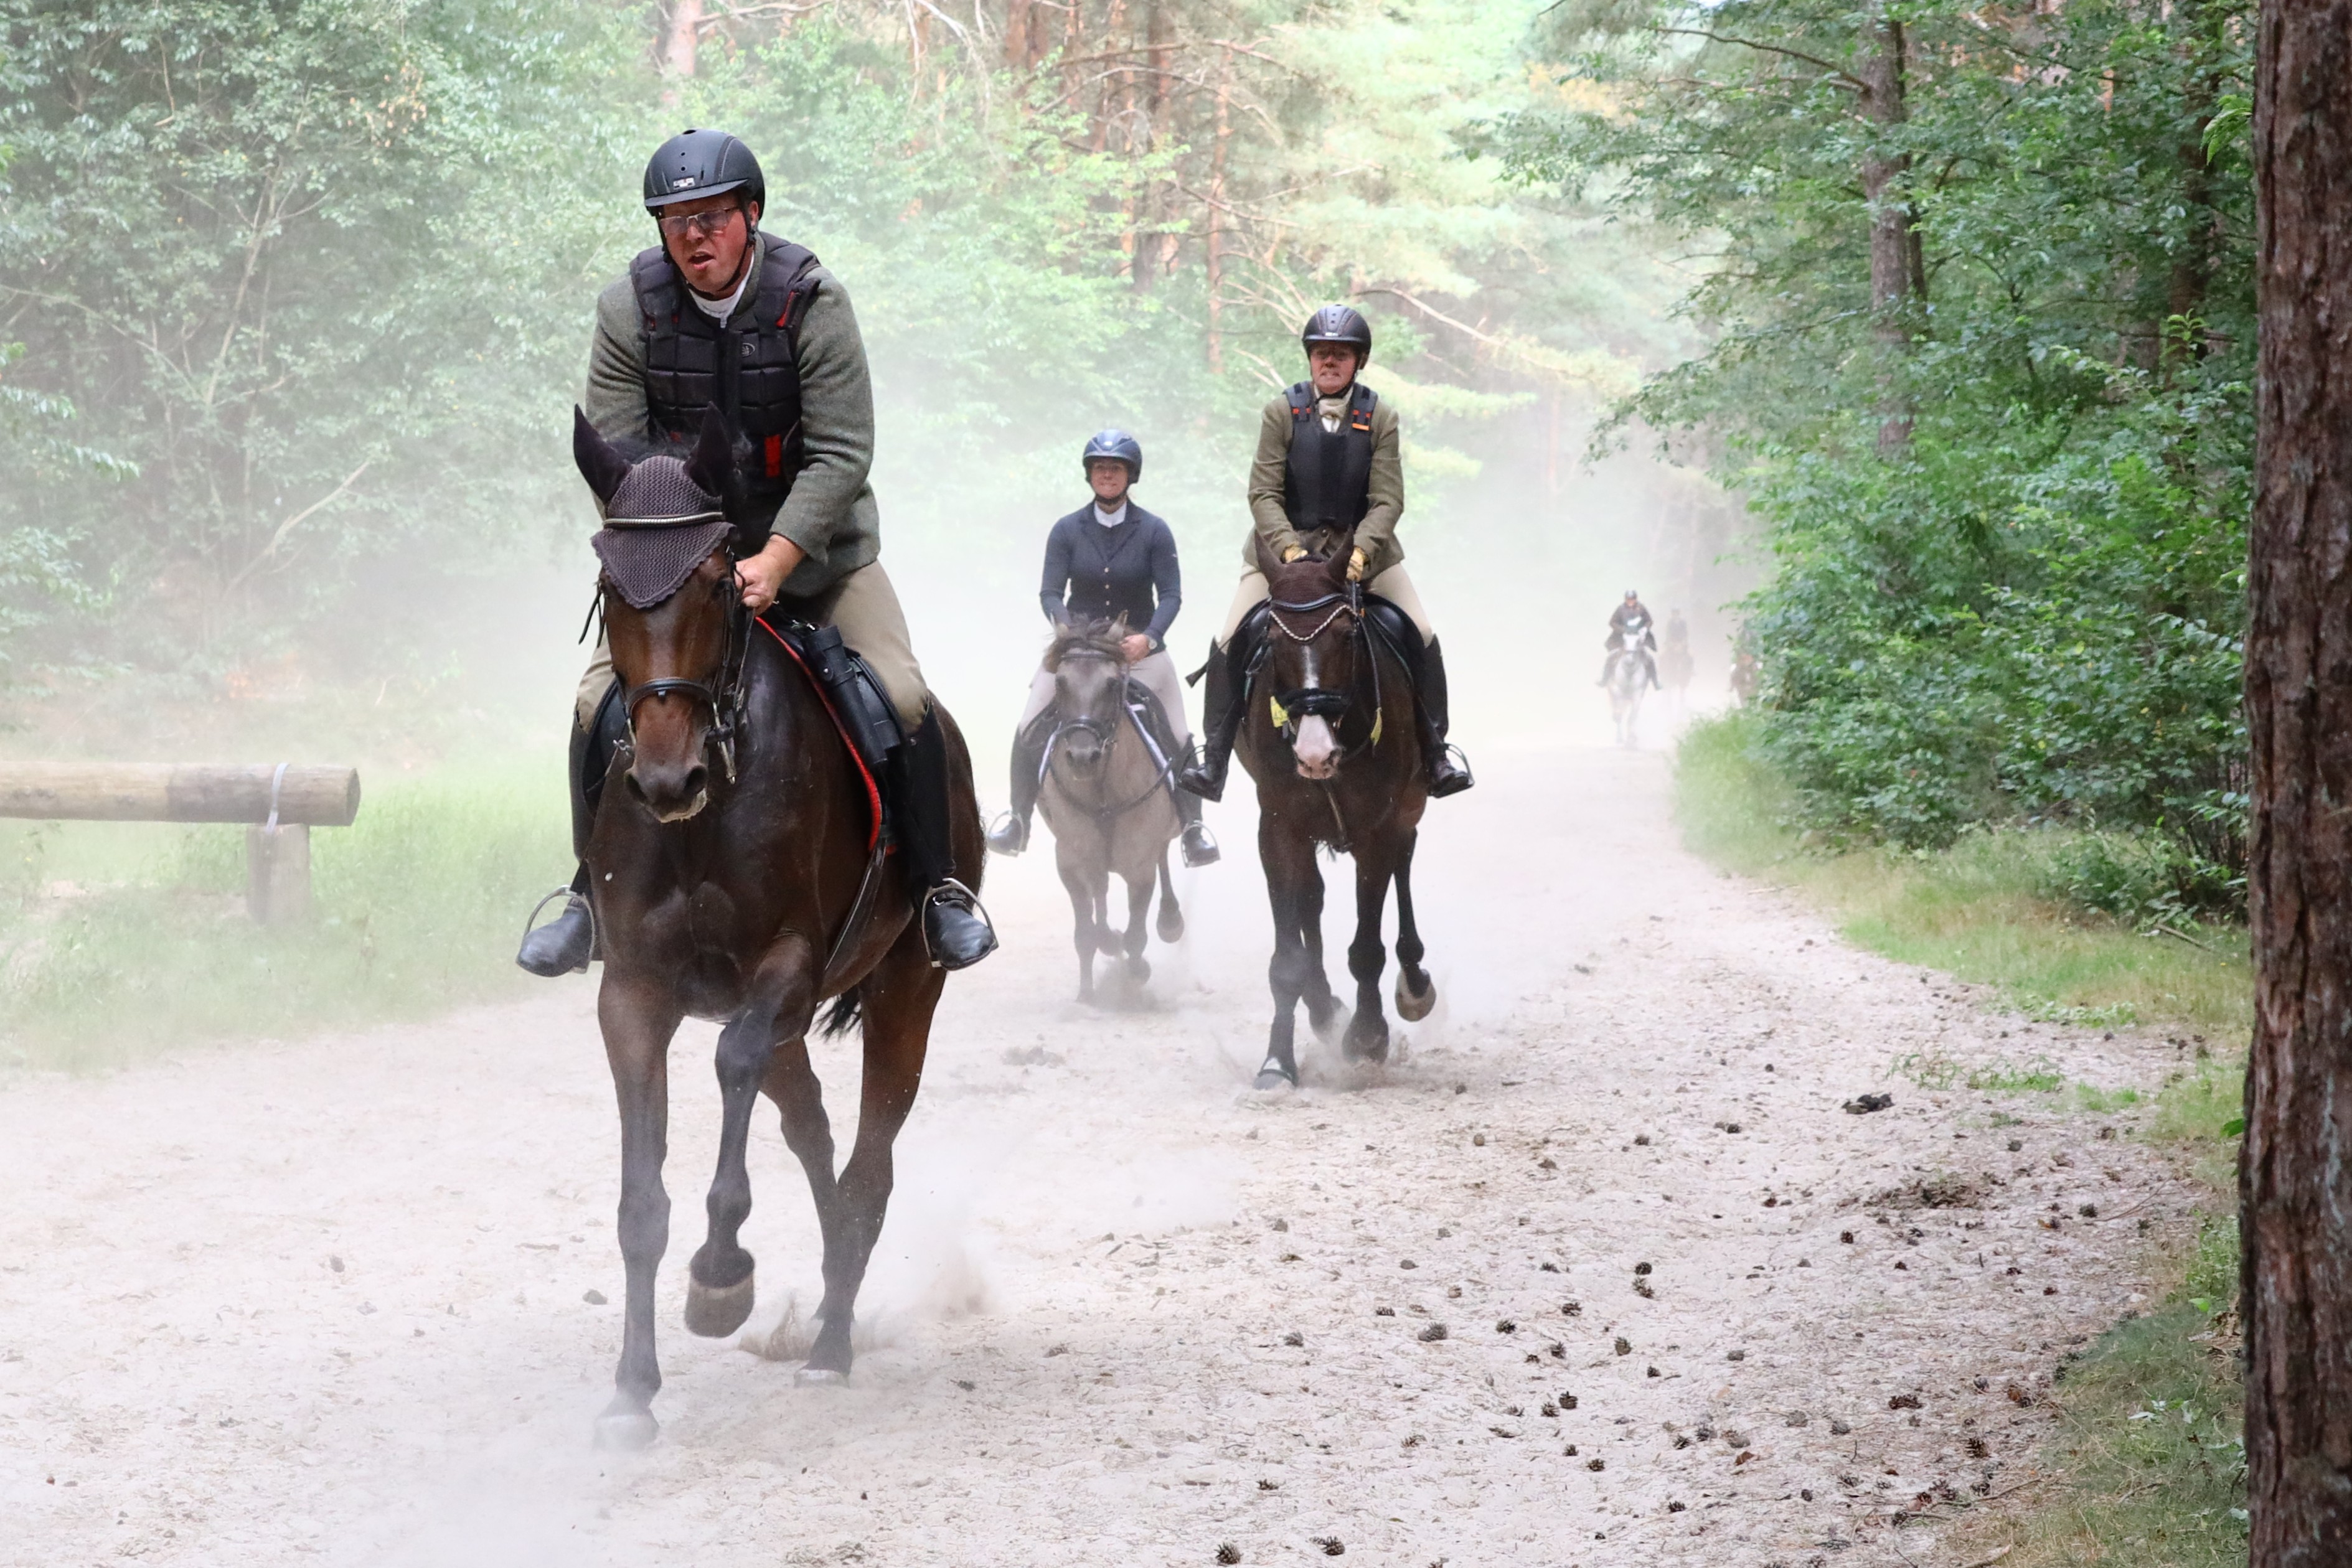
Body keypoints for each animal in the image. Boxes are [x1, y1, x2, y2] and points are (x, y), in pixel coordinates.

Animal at [572, 410, 984, 1449]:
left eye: (719, 578)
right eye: (610, 584)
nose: (665, 778)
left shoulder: (787, 966)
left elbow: (731, 1080)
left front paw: (722, 1276)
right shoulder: (633, 990)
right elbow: (641, 1200)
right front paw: (631, 1388)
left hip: (904, 989)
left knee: (869, 1160)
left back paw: (832, 1341)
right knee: (814, 1133)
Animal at [1034, 617, 1185, 1003]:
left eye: (1112, 684)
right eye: (1061, 682)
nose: (1083, 757)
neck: (1103, 788)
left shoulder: (1140, 865)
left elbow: (1136, 934)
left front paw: (1136, 972)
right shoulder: (1071, 860)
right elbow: (1087, 928)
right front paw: (1088, 989)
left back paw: (1170, 920)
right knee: (1100, 890)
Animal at [1233, 539, 1436, 1089]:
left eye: (1347, 635)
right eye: (1271, 638)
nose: (1315, 754)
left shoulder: (1379, 828)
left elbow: (1367, 947)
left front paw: (1368, 1038)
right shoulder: (1278, 828)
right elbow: (1288, 956)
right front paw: (1277, 1062)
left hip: (1409, 805)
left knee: (1405, 867)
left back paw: (1413, 984)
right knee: (1311, 900)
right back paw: (1324, 1009)